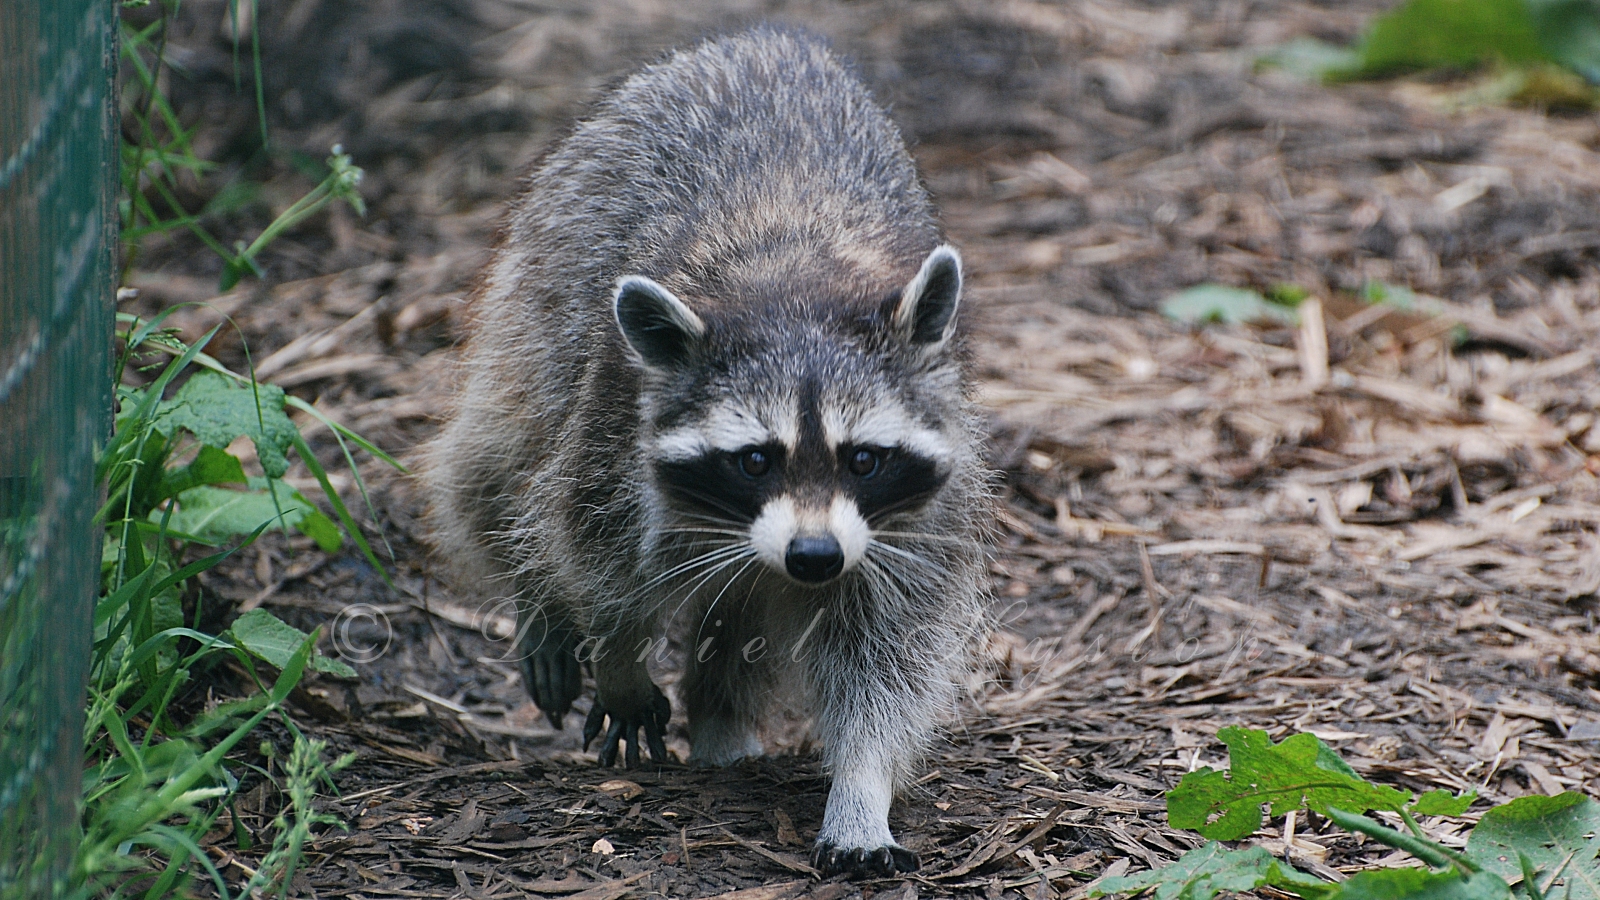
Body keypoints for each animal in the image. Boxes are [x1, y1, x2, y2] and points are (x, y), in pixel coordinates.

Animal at [421, 27, 991, 877]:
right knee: (503, 454)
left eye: (862, 459)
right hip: (545, 273)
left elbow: (888, 656)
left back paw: (722, 723)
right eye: (756, 459)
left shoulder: (918, 515)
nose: (815, 556)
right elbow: (594, 552)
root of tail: (764, 40)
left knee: (740, 608)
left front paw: (861, 786)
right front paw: (616, 653)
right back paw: (537, 598)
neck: (797, 282)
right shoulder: (616, 424)